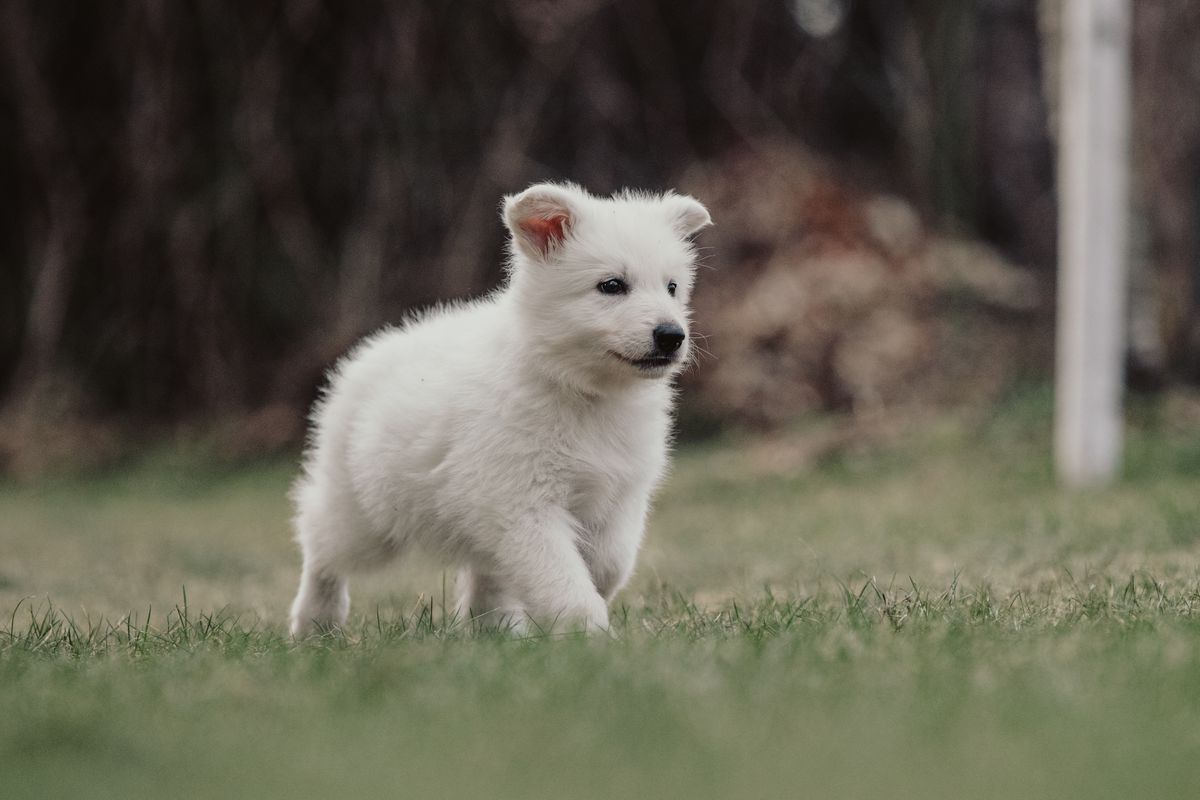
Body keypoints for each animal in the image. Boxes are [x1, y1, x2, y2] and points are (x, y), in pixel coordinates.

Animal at [285, 183, 705, 638]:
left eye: (672, 287)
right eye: (611, 285)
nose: (672, 336)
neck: (581, 391)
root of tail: (369, 352)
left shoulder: (620, 495)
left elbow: (610, 562)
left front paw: (588, 598)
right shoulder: (522, 502)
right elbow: (559, 572)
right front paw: (585, 630)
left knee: (486, 570)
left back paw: (493, 628)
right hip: (362, 513)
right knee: (321, 548)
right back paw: (315, 622)